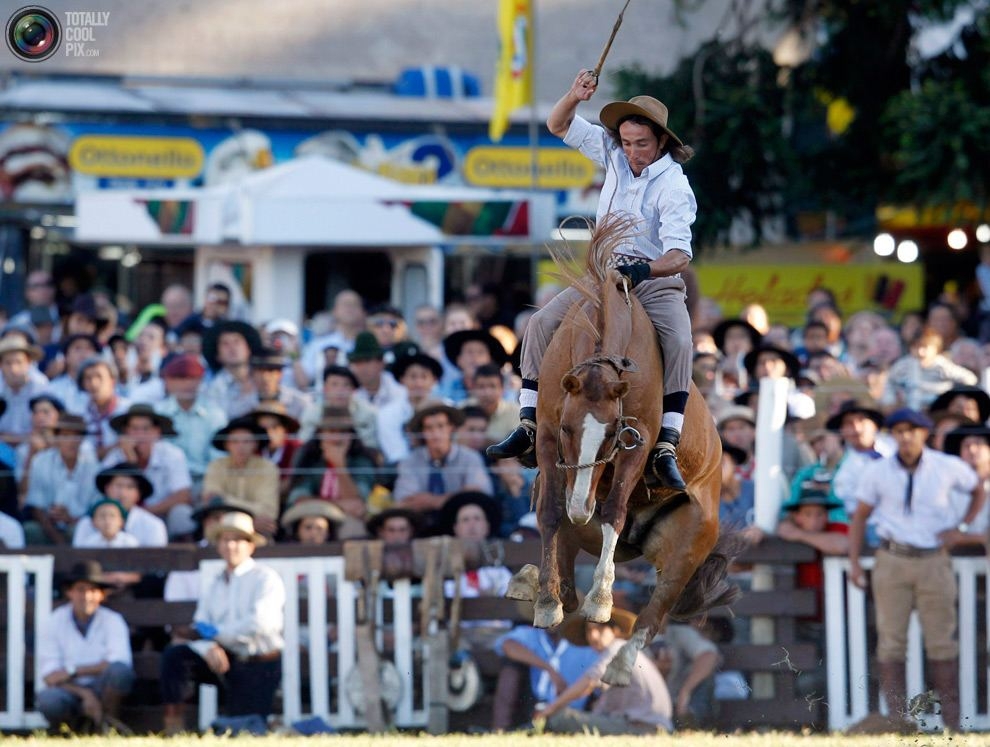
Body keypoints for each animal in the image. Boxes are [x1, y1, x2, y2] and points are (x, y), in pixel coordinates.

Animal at [512, 213, 736, 688]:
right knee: (568, 580)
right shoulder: (548, 440)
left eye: (615, 434)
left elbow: (613, 510)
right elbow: (549, 513)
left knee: (652, 615)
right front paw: (545, 604)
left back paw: (618, 665)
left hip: (686, 548)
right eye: (567, 428)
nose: (581, 506)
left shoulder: (638, 444)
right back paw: (532, 584)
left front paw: (601, 600)